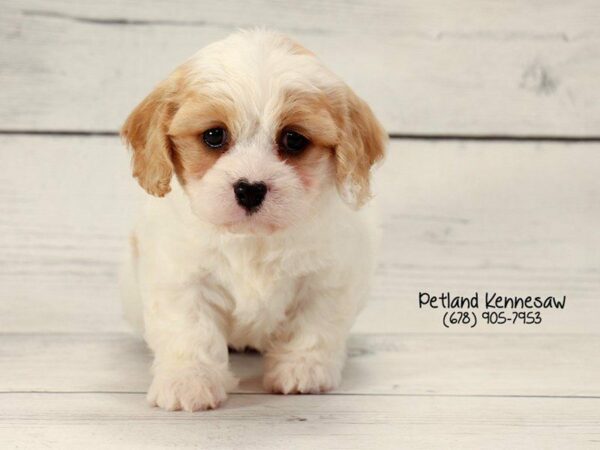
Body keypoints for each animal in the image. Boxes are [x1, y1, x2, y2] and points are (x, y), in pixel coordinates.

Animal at [119, 29, 386, 412]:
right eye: (214, 135)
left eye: (293, 139)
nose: (249, 189)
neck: (253, 239)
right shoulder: (181, 278)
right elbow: (189, 329)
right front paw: (188, 380)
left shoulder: (329, 278)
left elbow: (314, 323)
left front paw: (302, 370)